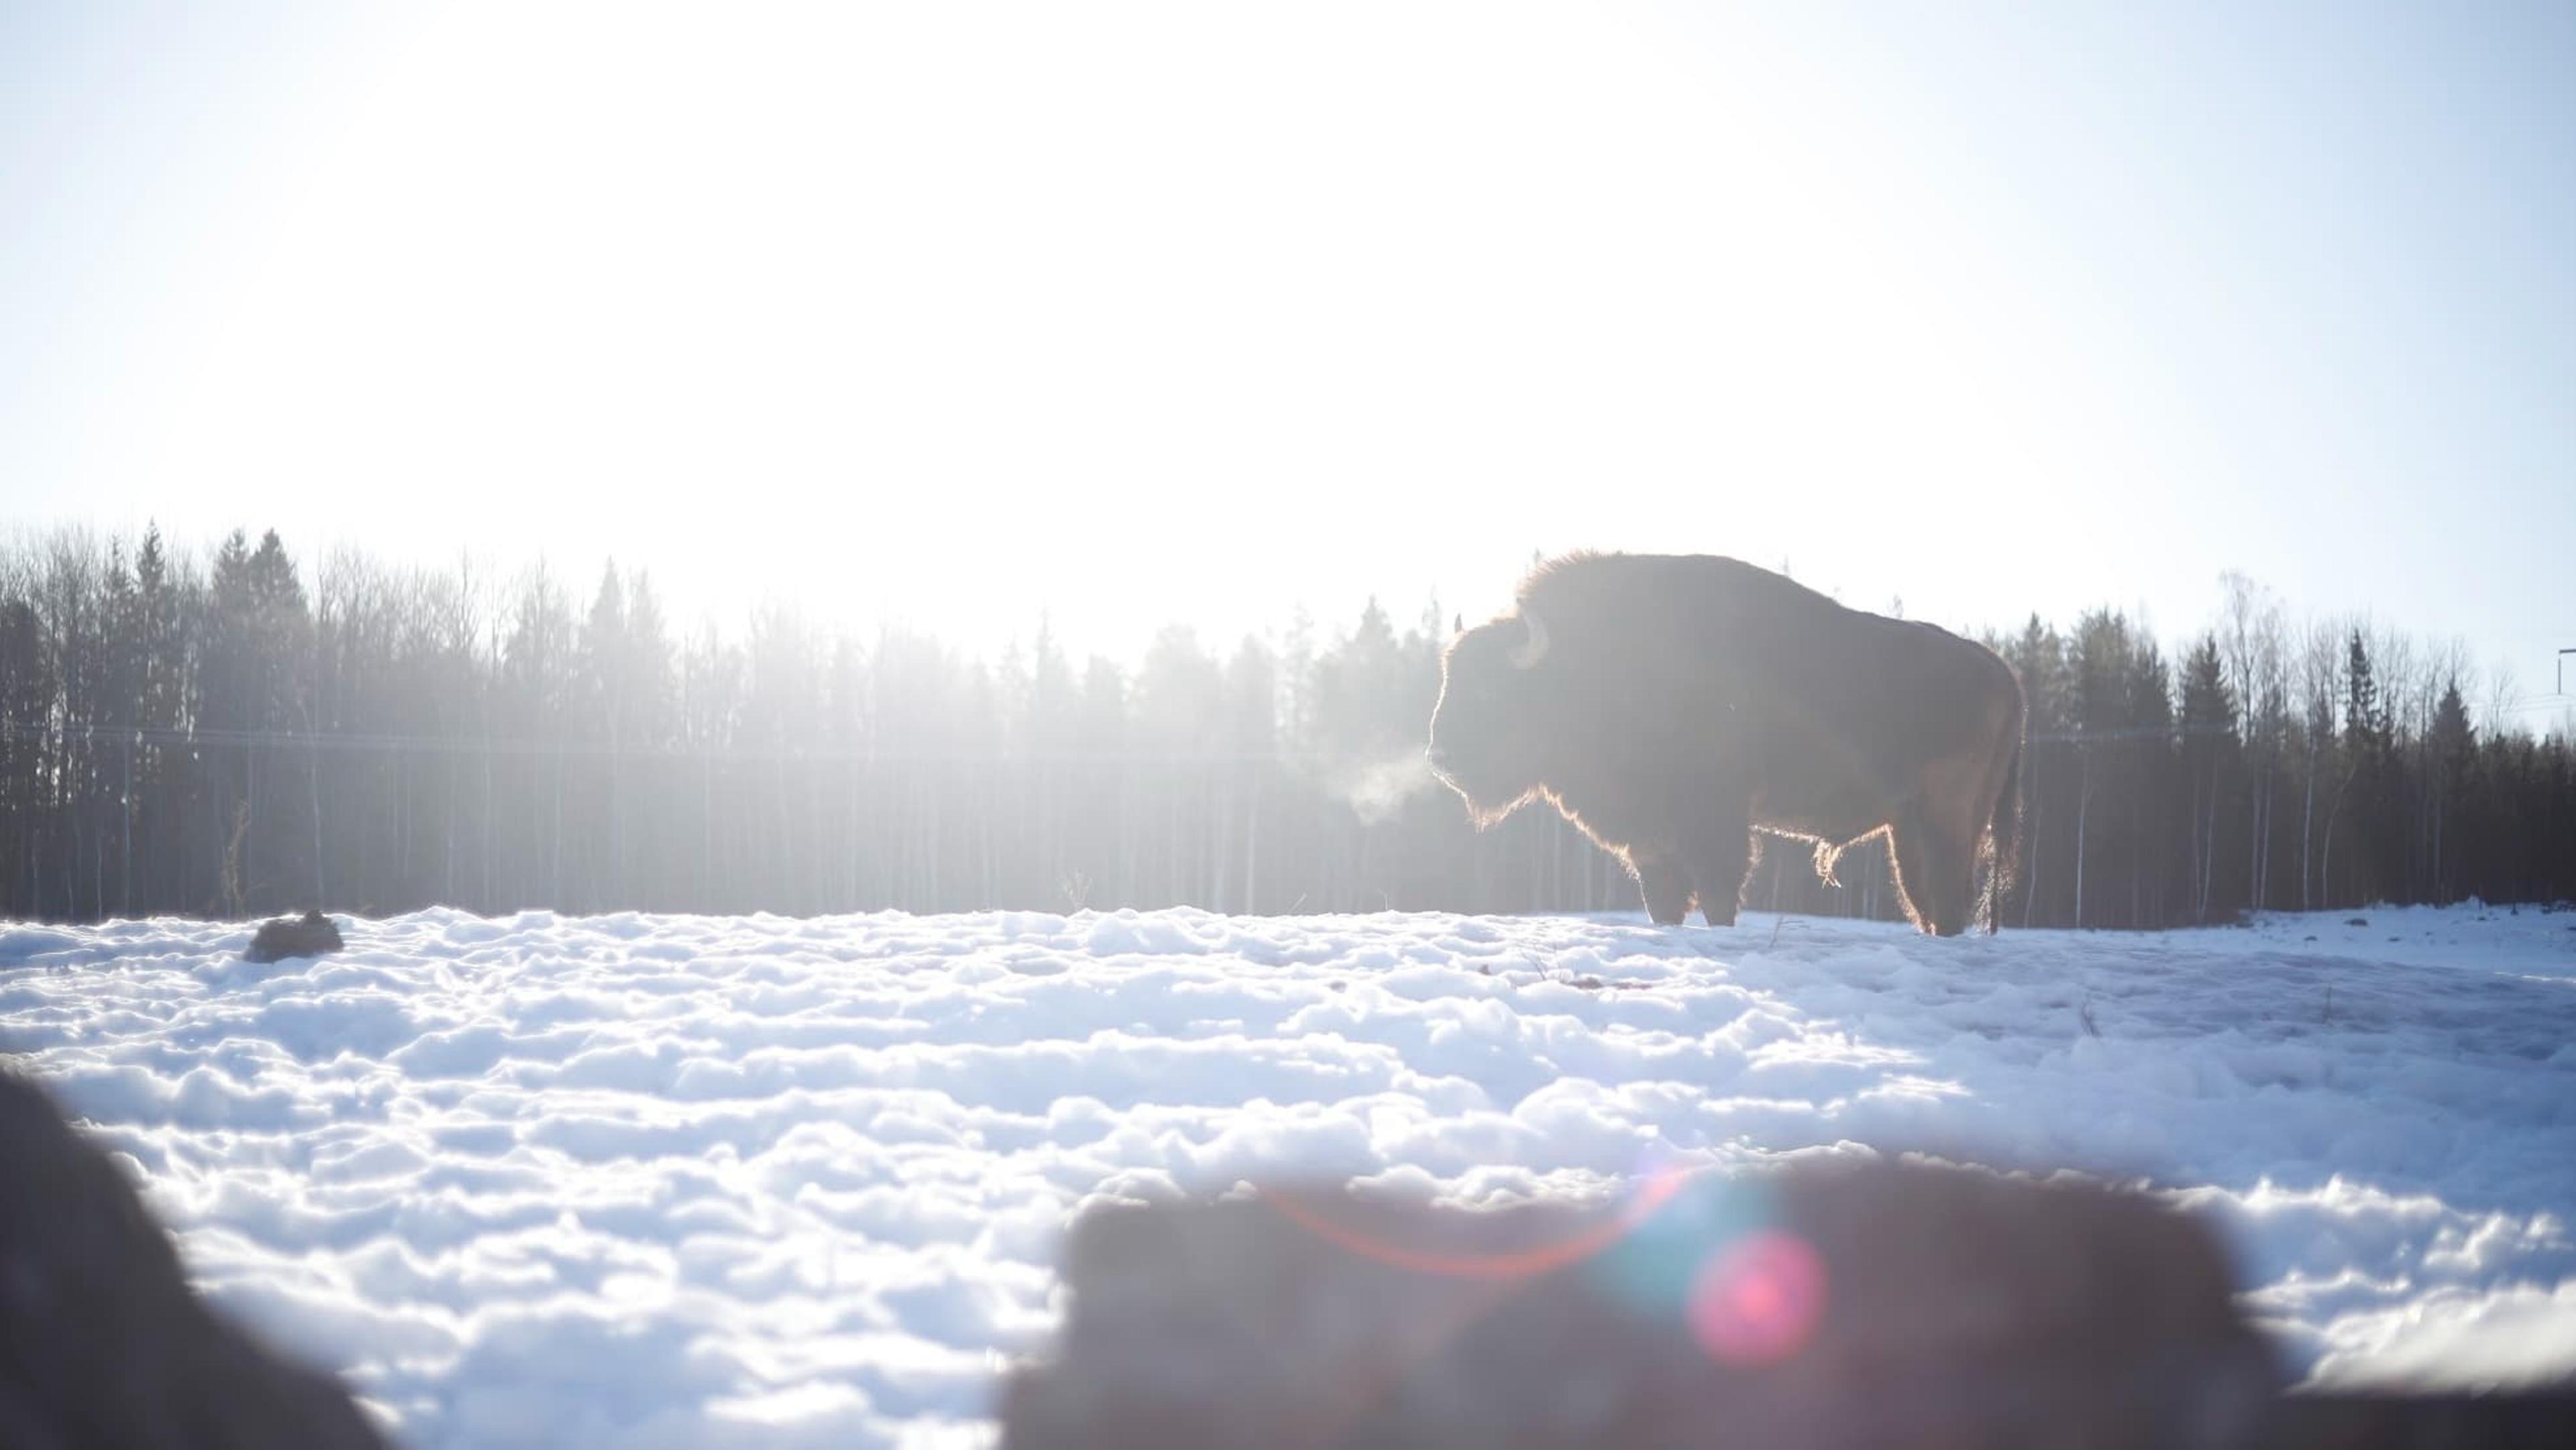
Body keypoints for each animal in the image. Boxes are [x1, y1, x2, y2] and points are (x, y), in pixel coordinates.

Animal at [1432, 551, 2009, 937]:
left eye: (1490, 688)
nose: (1438, 757)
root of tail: (1995, 667)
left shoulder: (1714, 822)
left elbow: (1716, 891)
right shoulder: (1653, 841)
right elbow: (1663, 900)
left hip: (1945, 821)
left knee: (1946, 899)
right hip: (1906, 829)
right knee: (1928, 902)